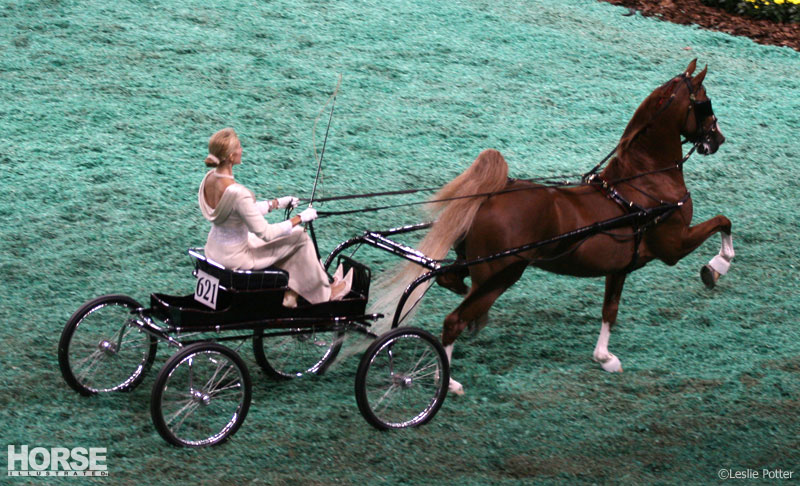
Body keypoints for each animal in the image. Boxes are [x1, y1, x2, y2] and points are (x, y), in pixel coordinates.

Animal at [406, 60, 732, 394]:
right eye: (705, 101)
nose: (718, 139)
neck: (643, 183)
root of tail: (486, 199)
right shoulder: (674, 246)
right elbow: (723, 221)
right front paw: (718, 266)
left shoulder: (619, 267)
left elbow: (610, 310)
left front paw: (604, 357)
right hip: (500, 275)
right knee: (454, 320)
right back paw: (445, 380)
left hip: (479, 269)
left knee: (451, 283)